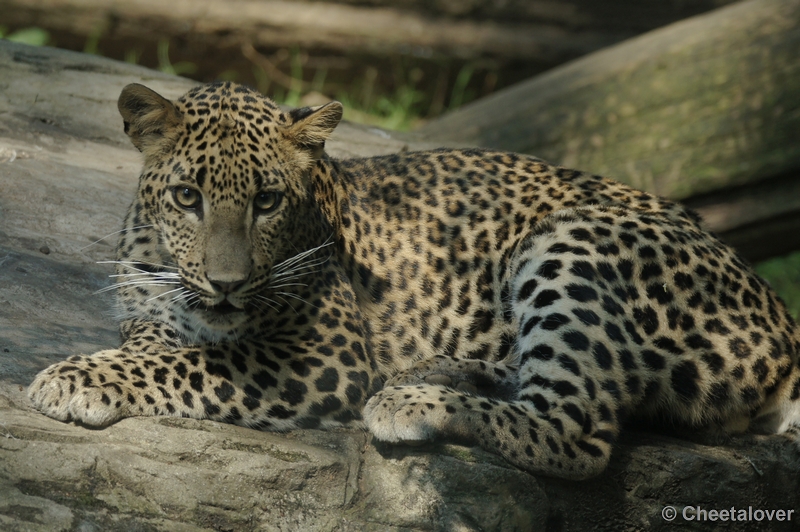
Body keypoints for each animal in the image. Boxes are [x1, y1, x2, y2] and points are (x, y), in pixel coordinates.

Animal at [28, 80, 800, 482]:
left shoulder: (323, 357)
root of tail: (782, 317)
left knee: (576, 430)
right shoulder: (152, 308)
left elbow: (193, 363)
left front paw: (75, 378)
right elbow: (160, 344)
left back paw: (413, 402)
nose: (226, 283)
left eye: (268, 201)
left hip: (576, 239)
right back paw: (435, 372)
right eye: (187, 197)